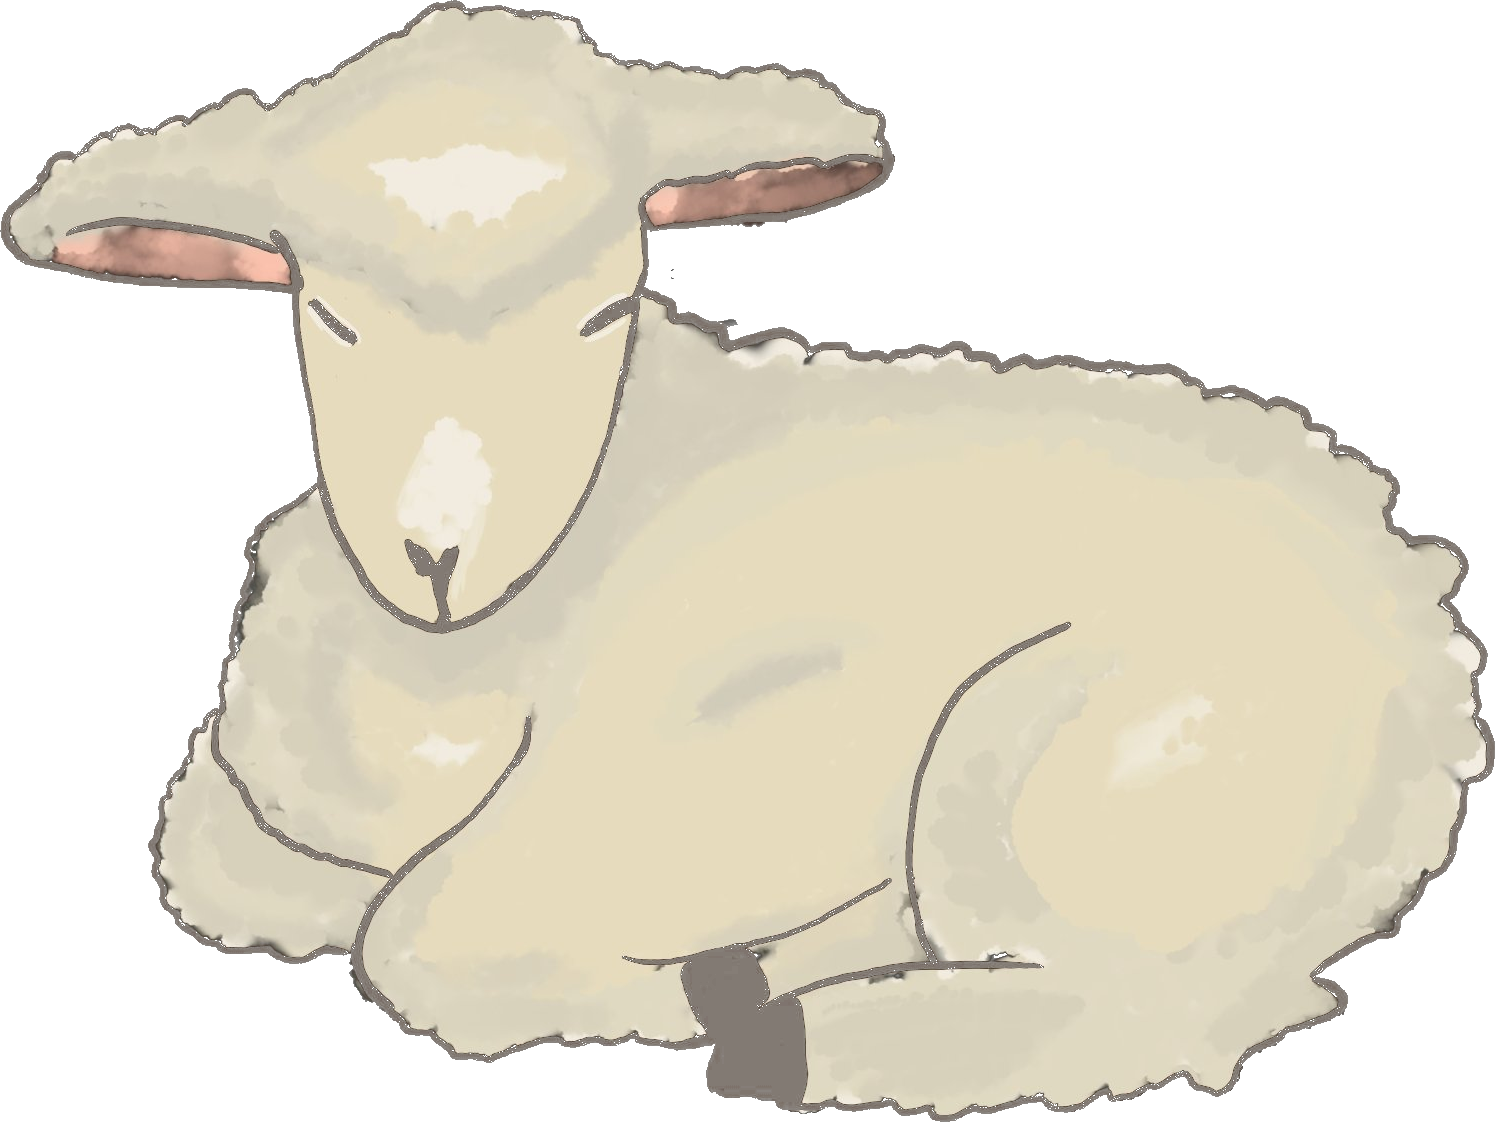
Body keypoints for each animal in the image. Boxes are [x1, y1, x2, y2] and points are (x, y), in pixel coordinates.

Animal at [5, 4, 1487, 1117]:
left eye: (607, 309)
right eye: (331, 315)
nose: (435, 554)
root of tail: (1420, 631)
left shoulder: (718, 746)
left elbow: (420, 934)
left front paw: (661, 977)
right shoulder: (238, 784)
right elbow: (217, 856)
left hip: (1049, 753)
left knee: (1141, 1005)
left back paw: (781, 1023)